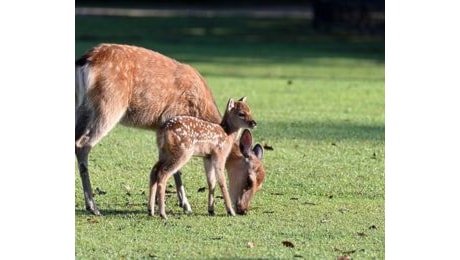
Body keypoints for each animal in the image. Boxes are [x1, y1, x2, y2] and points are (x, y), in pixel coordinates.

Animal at [76, 43, 266, 216]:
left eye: (261, 184)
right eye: (249, 180)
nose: (243, 210)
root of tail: (84, 62)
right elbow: (178, 170)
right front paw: (185, 205)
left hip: (82, 108)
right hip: (109, 104)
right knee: (83, 145)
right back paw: (93, 207)